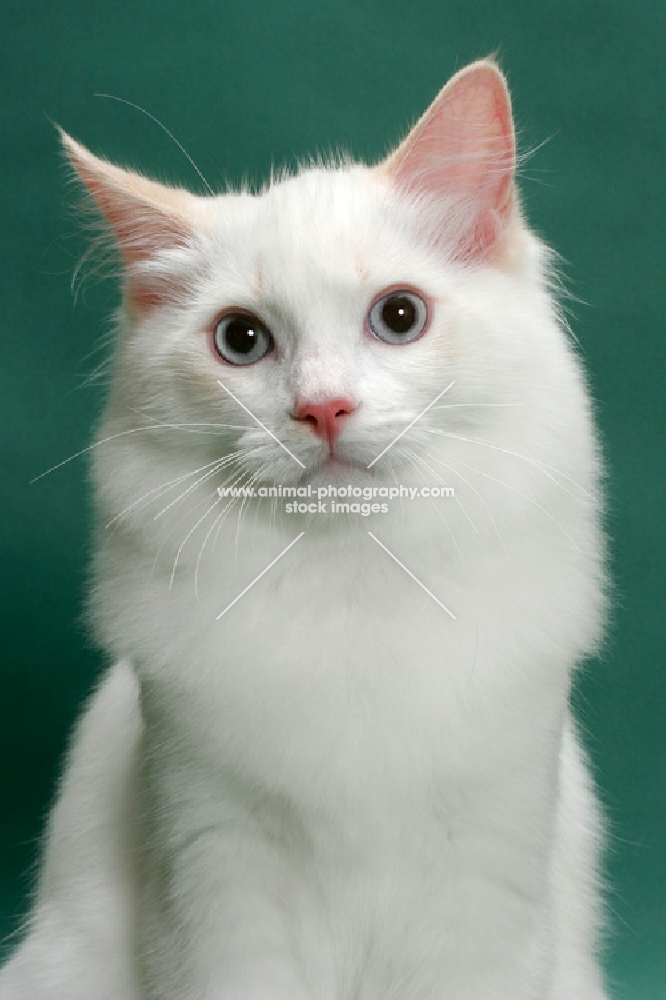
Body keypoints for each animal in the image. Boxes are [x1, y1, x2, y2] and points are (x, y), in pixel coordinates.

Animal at [0, 62, 608, 1000]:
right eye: (242, 339)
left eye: (399, 318)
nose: (323, 408)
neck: (348, 574)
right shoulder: (214, 863)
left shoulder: (481, 879)